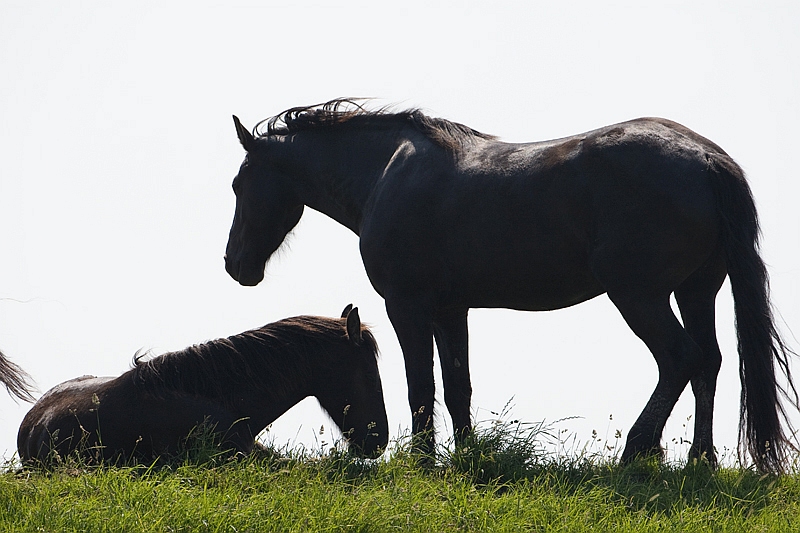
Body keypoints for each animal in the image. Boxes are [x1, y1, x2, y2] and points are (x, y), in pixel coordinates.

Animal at [222, 98, 796, 470]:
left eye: (238, 184)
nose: (234, 264)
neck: (386, 174)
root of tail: (708, 159)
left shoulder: (407, 307)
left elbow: (420, 385)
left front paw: (422, 461)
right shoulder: (451, 310)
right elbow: (457, 384)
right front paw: (464, 455)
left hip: (640, 297)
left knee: (680, 358)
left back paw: (637, 450)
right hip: (696, 291)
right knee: (709, 362)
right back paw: (701, 459)